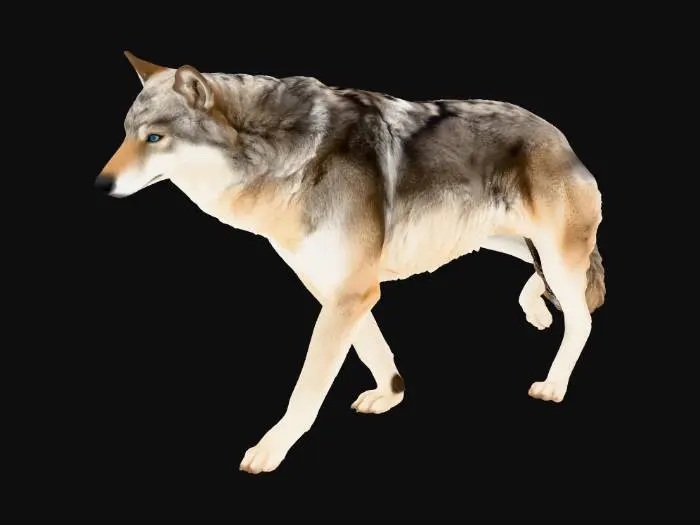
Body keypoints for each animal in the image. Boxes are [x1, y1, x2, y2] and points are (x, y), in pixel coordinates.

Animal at [96, 52, 606, 474]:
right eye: (125, 135)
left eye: (154, 138)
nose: (101, 185)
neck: (282, 153)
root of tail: (560, 137)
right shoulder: (333, 287)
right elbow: (372, 347)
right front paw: (391, 394)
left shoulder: (352, 291)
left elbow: (309, 384)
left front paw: (271, 448)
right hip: (504, 240)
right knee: (548, 276)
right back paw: (537, 310)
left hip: (551, 251)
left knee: (580, 315)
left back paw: (554, 383)